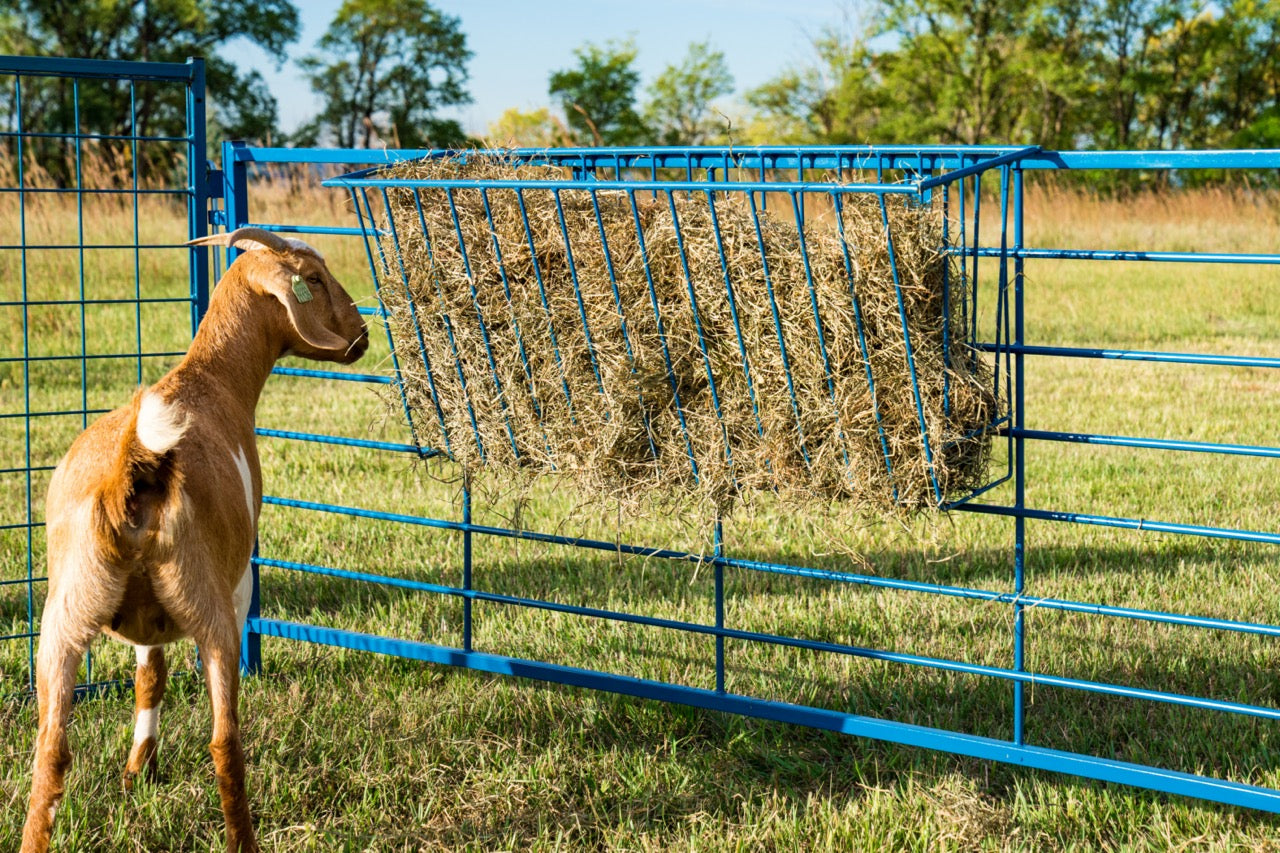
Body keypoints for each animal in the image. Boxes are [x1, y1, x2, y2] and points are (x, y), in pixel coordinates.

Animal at [21, 227, 369, 853]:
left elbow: (149, 678)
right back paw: (244, 840)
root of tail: (134, 469)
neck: (211, 380)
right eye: (315, 278)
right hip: (210, 610)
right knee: (225, 743)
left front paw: (139, 770)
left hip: (62, 618)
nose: (362, 335)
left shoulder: (143, 623)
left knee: (51, 752)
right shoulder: (239, 582)